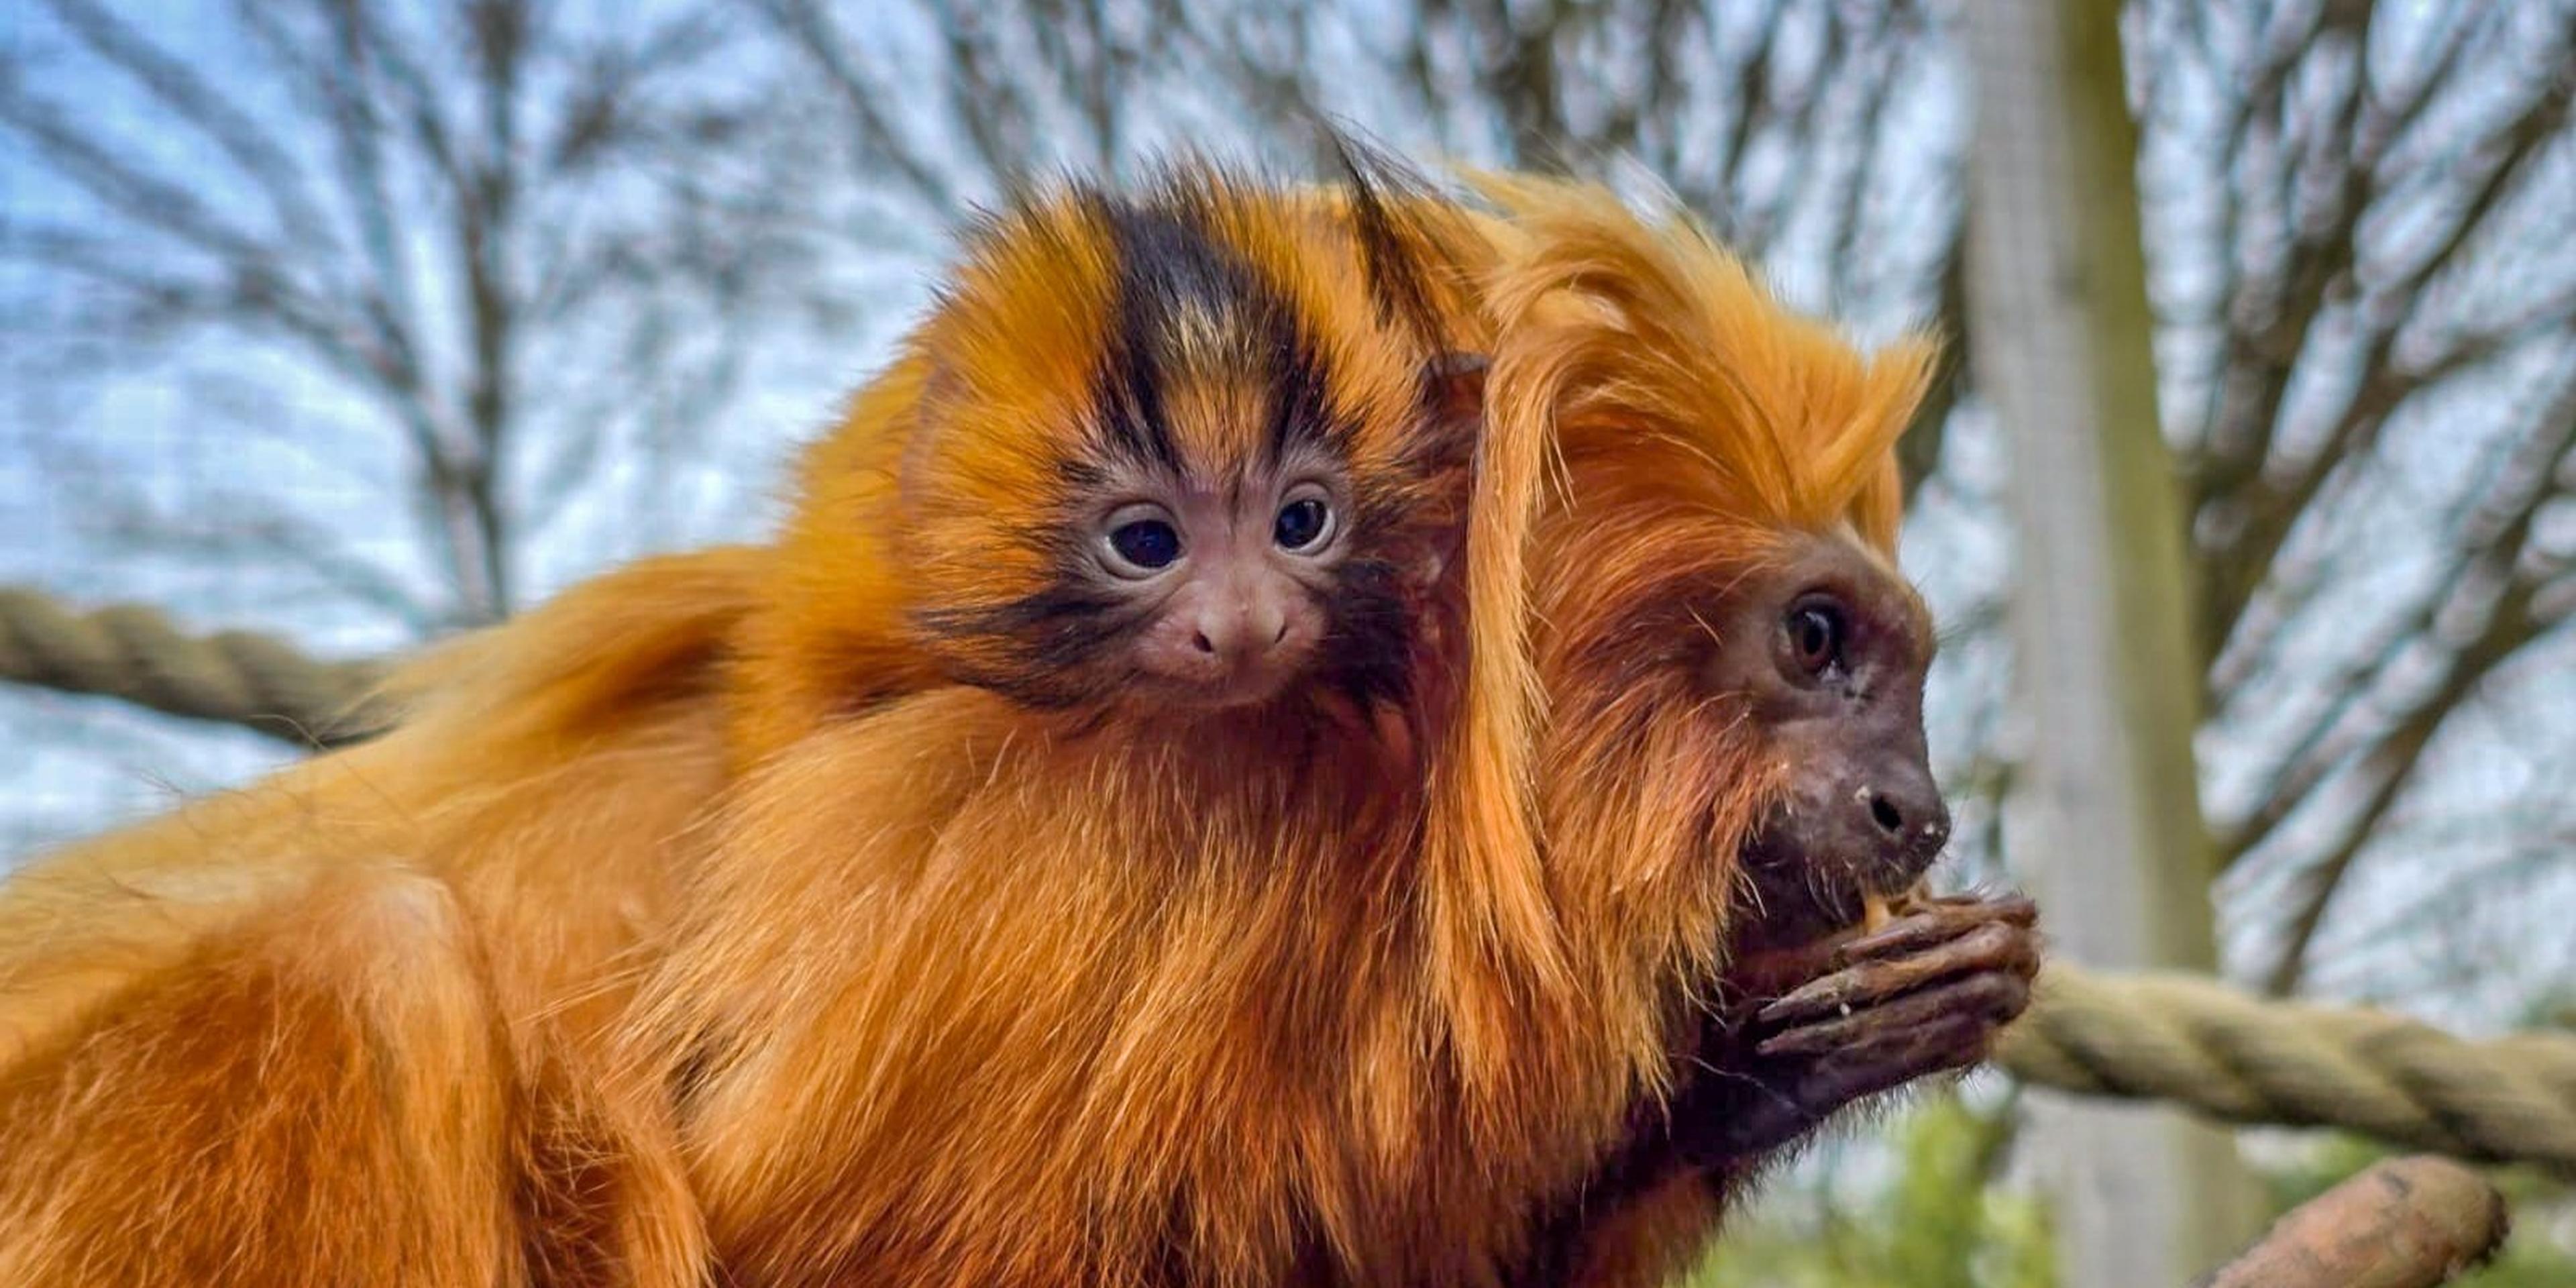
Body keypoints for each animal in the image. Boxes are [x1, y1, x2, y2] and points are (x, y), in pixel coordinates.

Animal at [0, 161, 2038, 1288]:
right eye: (1820, 640)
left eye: (1903, 675)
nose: (1916, 808)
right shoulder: (1065, 881)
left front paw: (1833, 1034)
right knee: (370, 965)